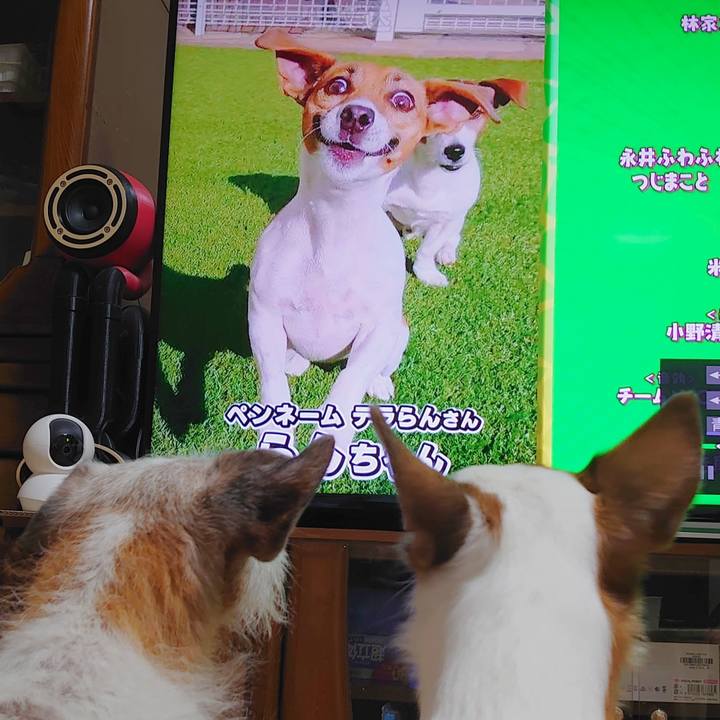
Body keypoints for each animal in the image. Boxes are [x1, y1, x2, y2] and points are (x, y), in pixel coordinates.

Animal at [249, 29, 499, 450]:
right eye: (337, 85)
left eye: (403, 100)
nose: (357, 115)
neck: (336, 218)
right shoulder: (263, 315)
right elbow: (272, 387)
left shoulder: (377, 329)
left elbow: (348, 387)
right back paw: (296, 360)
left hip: (399, 332)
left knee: (375, 368)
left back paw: (379, 383)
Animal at [384, 78, 527, 287]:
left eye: (476, 112)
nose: (455, 151)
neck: (428, 177)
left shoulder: (447, 219)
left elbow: (427, 249)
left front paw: (426, 273)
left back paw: (446, 253)